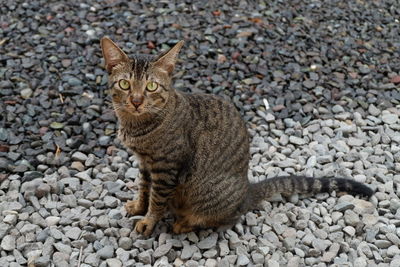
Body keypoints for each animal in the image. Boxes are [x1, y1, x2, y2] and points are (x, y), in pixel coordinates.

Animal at [101, 37, 376, 237]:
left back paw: (184, 224)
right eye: (125, 85)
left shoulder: (166, 166)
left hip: (207, 195)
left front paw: (148, 221)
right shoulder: (145, 163)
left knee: (225, 219)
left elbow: (157, 199)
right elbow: (144, 188)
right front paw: (138, 207)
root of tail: (246, 191)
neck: (136, 126)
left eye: (151, 87)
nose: (136, 101)